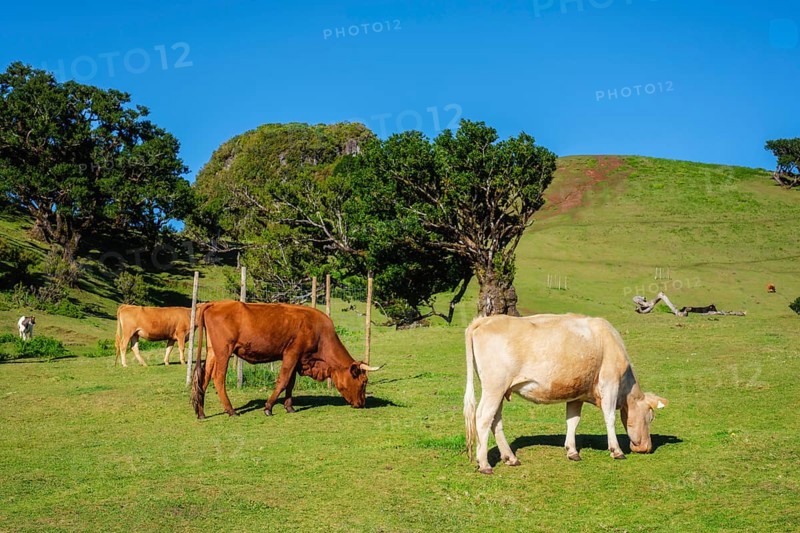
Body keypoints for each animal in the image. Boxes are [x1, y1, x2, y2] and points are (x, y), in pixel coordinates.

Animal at [191, 301, 381, 419]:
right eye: (364, 381)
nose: (362, 404)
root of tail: (215, 303)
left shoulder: (298, 359)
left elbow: (290, 383)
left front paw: (289, 407)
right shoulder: (291, 353)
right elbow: (283, 381)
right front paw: (268, 407)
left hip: (212, 352)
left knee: (204, 379)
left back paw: (201, 412)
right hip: (224, 352)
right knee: (218, 378)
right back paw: (231, 410)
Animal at [464, 313, 668, 474]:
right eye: (650, 418)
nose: (647, 448)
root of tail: (485, 320)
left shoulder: (577, 393)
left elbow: (573, 421)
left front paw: (572, 451)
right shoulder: (609, 383)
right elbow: (609, 417)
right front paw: (616, 450)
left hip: (499, 389)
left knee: (495, 420)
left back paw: (510, 457)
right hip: (494, 386)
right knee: (483, 418)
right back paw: (484, 464)